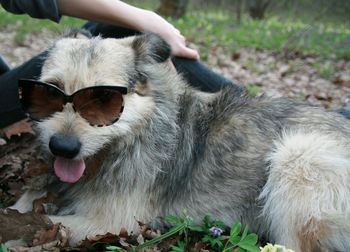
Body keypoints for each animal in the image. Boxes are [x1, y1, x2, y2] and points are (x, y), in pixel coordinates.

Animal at [12, 32, 350, 252]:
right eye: (50, 91)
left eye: (104, 97)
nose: (62, 147)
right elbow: (27, 202)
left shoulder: (110, 221)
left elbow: (40, 222)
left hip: (298, 155)